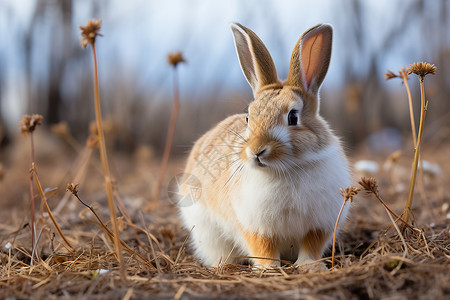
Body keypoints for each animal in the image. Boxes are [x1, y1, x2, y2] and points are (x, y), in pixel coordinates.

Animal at [177, 22, 352, 268]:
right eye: (248, 118)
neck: (286, 169)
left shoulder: (320, 225)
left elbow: (311, 247)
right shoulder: (256, 226)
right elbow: (264, 247)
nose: (256, 151)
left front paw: (309, 267)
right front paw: (269, 269)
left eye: (293, 117)